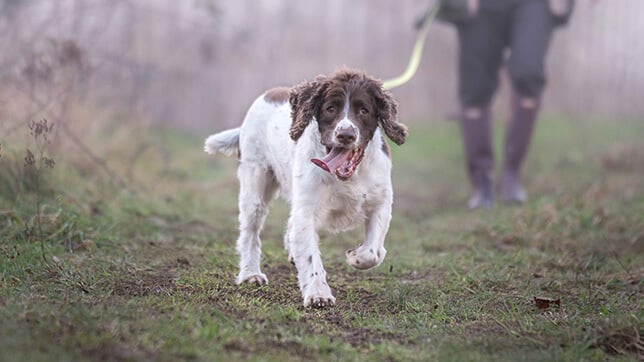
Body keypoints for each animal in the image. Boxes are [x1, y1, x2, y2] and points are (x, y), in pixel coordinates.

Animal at [206, 67, 408, 306]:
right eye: (330, 109)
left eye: (364, 110)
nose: (345, 135)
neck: (347, 177)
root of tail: (269, 94)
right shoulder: (307, 209)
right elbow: (311, 256)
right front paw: (318, 294)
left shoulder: (381, 202)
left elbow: (373, 252)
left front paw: (354, 257)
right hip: (255, 185)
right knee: (250, 232)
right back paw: (250, 274)